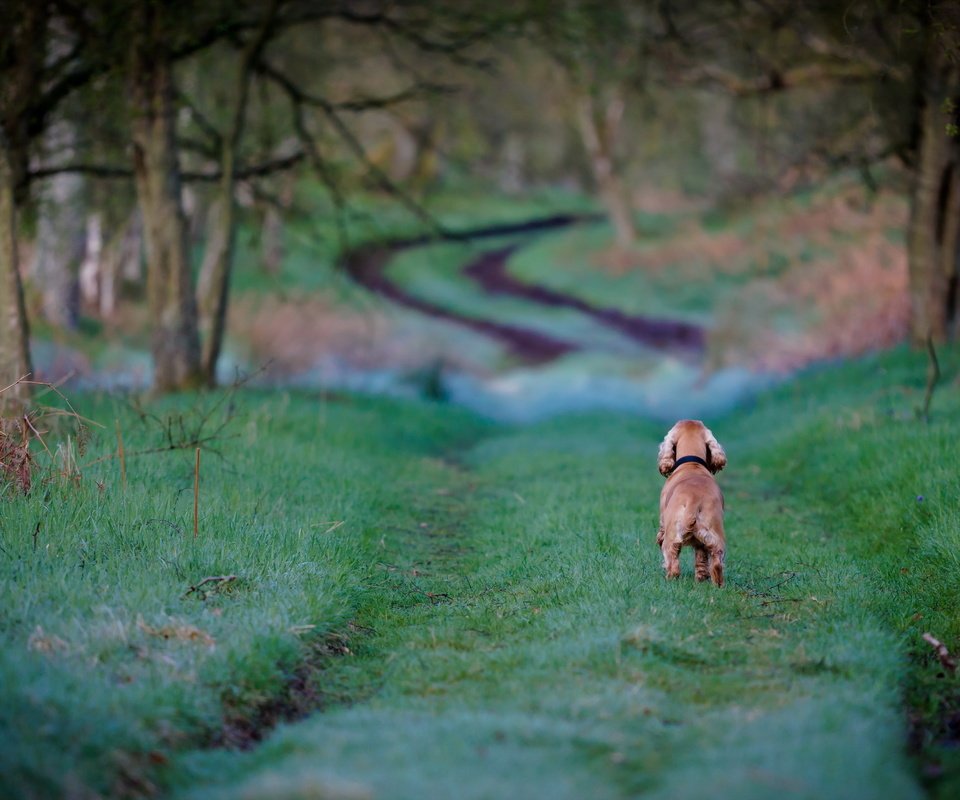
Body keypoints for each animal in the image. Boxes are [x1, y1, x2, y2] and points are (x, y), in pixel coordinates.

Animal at [660, 418, 728, 588]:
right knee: (715, 562)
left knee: (672, 561)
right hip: (714, 535)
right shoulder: (700, 542)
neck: (692, 464)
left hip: (671, 535)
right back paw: (715, 584)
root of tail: (693, 500)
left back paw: (669, 580)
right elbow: (701, 558)